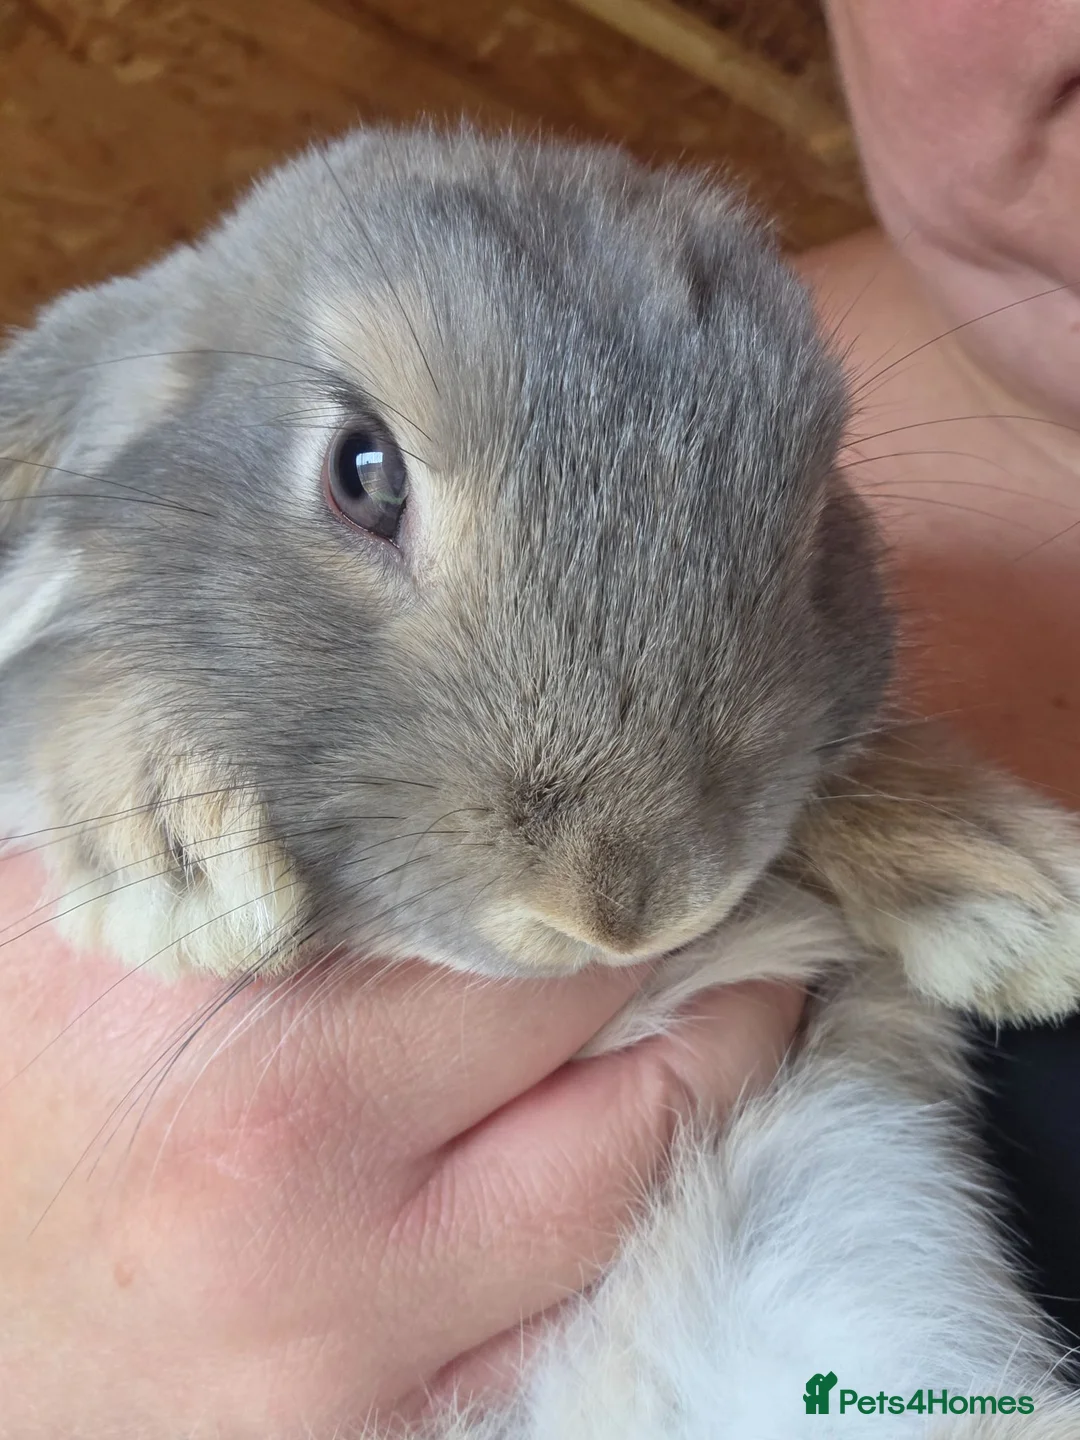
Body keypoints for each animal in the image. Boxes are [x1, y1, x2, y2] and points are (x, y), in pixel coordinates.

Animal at [3, 126, 1080, 1438]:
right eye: (363, 472)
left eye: (813, 518)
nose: (625, 907)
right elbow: (70, 685)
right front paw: (176, 871)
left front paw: (1017, 893)